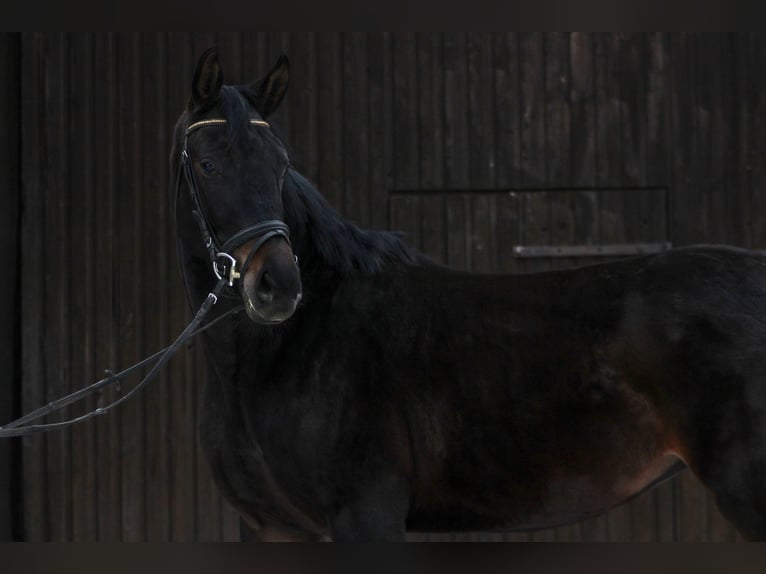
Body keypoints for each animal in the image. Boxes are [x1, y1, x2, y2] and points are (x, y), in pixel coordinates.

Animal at [171, 48, 766, 542]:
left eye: (282, 165)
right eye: (209, 165)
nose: (277, 286)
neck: (286, 351)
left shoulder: (366, 516)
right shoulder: (271, 527)